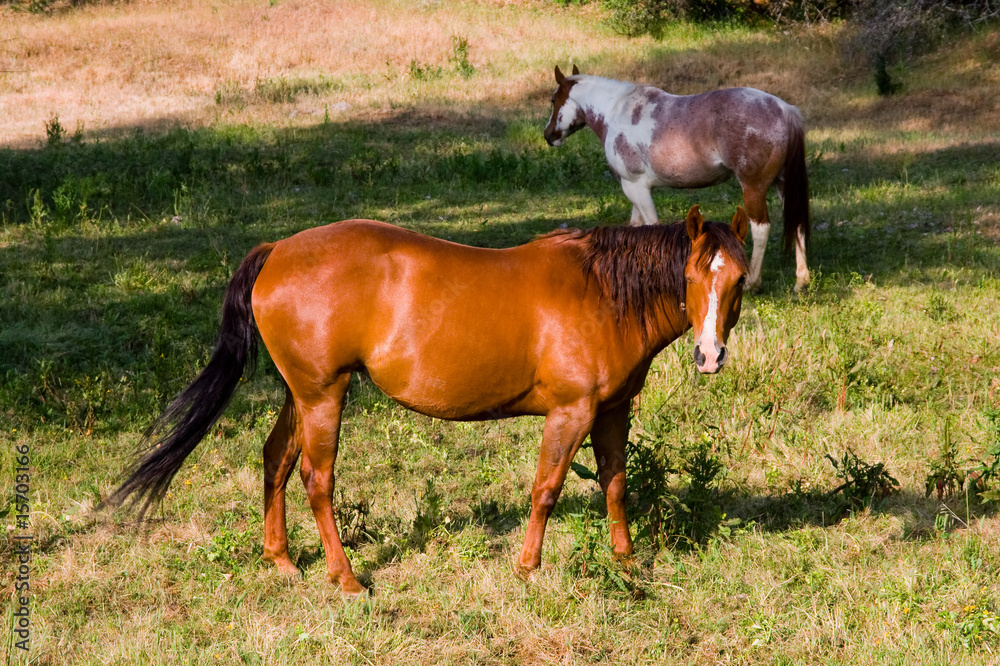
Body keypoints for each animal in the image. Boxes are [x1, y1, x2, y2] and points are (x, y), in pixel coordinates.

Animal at [106, 205, 749, 595]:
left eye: (740, 278)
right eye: (693, 277)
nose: (710, 355)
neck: (601, 292)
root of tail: (279, 250)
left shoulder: (612, 411)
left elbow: (615, 484)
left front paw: (627, 562)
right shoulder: (572, 412)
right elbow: (546, 490)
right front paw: (528, 568)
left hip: (300, 393)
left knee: (275, 461)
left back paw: (283, 560)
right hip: (323, 395)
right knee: (316, 479)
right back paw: (346, 579)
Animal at [544, 65, 810, 293]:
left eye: (553, 100)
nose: (548, 135)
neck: (616, 112)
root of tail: (784, 109)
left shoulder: (635, 187)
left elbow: (650, 226)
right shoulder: (635, 189)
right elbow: (635, 228)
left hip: (753, 188)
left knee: (761, 229)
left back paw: (752, 282)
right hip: (784, 186)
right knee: (796, 222)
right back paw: (801, 281)